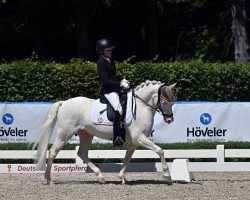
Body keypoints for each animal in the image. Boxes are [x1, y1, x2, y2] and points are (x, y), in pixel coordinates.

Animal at [32, 79, 176, 184]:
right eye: (164, 101)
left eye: (173, 102)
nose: (169, 119)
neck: (141, 107)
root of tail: (64, 102)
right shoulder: (139, 138)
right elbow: (160, 150)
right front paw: (167, 175)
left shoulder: (134, 142)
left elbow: (127, 158)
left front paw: (122, 177)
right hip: (65, 133)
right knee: (53, 152)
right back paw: (49, 179)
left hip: (86, 134)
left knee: (82, 153)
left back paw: (100, 177)